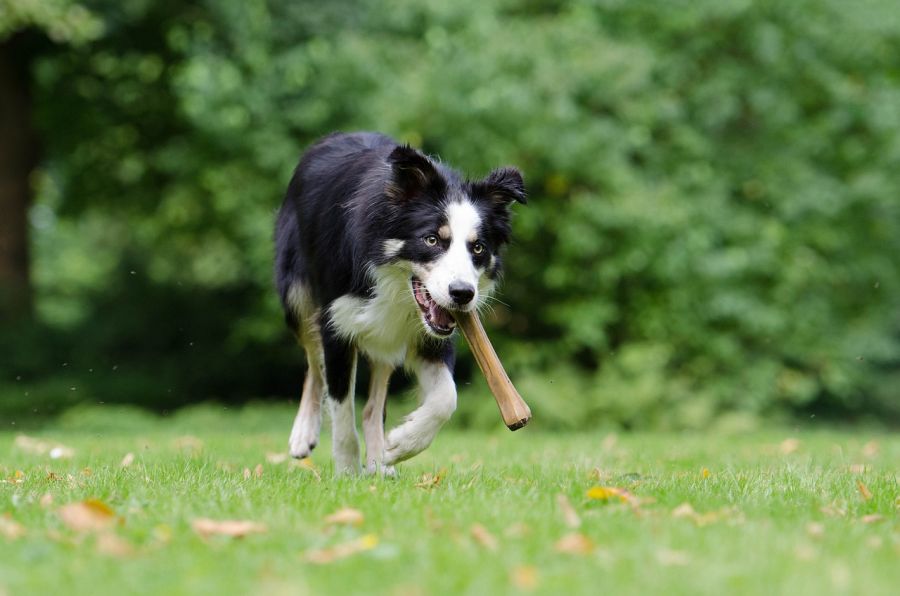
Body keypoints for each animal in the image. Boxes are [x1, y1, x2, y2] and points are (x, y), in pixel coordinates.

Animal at [274, 132, 528, 474]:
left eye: (478, 247)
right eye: (432, 240)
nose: (462, 294)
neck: (392, 284)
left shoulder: (431, 335)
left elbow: (447, 397)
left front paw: (401, 445)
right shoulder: (336, 323)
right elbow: (341, 410)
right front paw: (346, 472)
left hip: (386, 337)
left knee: (372, 404)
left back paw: (379, 462)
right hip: (297, 295)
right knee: (314, 364)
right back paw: (304, 434)